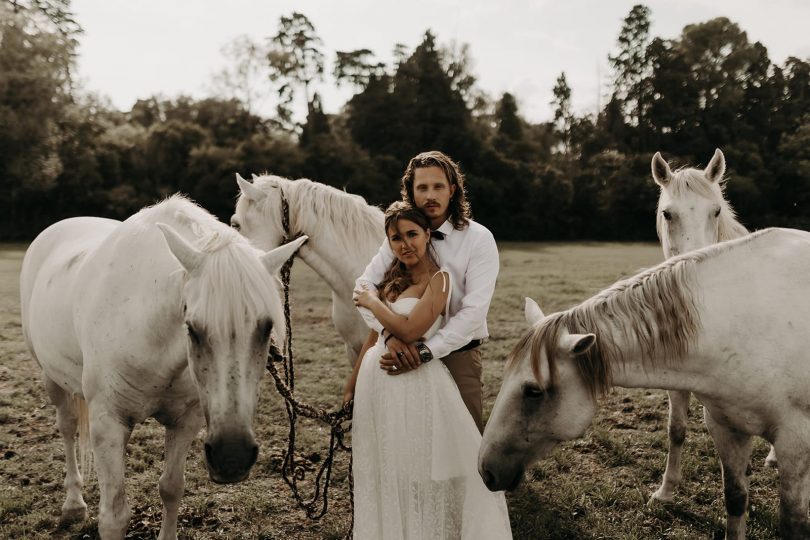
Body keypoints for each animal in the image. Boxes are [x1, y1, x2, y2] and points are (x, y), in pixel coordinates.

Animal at [22, 196, 308, 536]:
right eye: (192, 328)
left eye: (266, 328)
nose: (232, 456)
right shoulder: (108, 422)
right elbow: (114, 516)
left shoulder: (186, 420)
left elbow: (171, 489)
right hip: (50, 377)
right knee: (67, 428)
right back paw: (73, 504)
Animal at [476, 228, 808, 540]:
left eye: (533, 391)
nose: (485, 471)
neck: (737, 323)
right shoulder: (726, 428)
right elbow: (736, 500)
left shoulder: (795, 442)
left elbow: (793, 525)